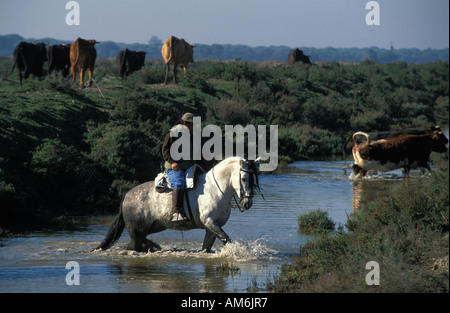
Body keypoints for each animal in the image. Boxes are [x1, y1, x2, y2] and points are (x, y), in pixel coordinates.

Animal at [95, 157, 264, 252]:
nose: (247, 203)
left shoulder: (211, 228)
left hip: (148, 228)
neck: (216, 189)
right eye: (244, 178)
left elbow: (207, 248)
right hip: (136, 232)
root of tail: (126, 196)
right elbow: (227, 240)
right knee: (133, 246)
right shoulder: (210, 223)